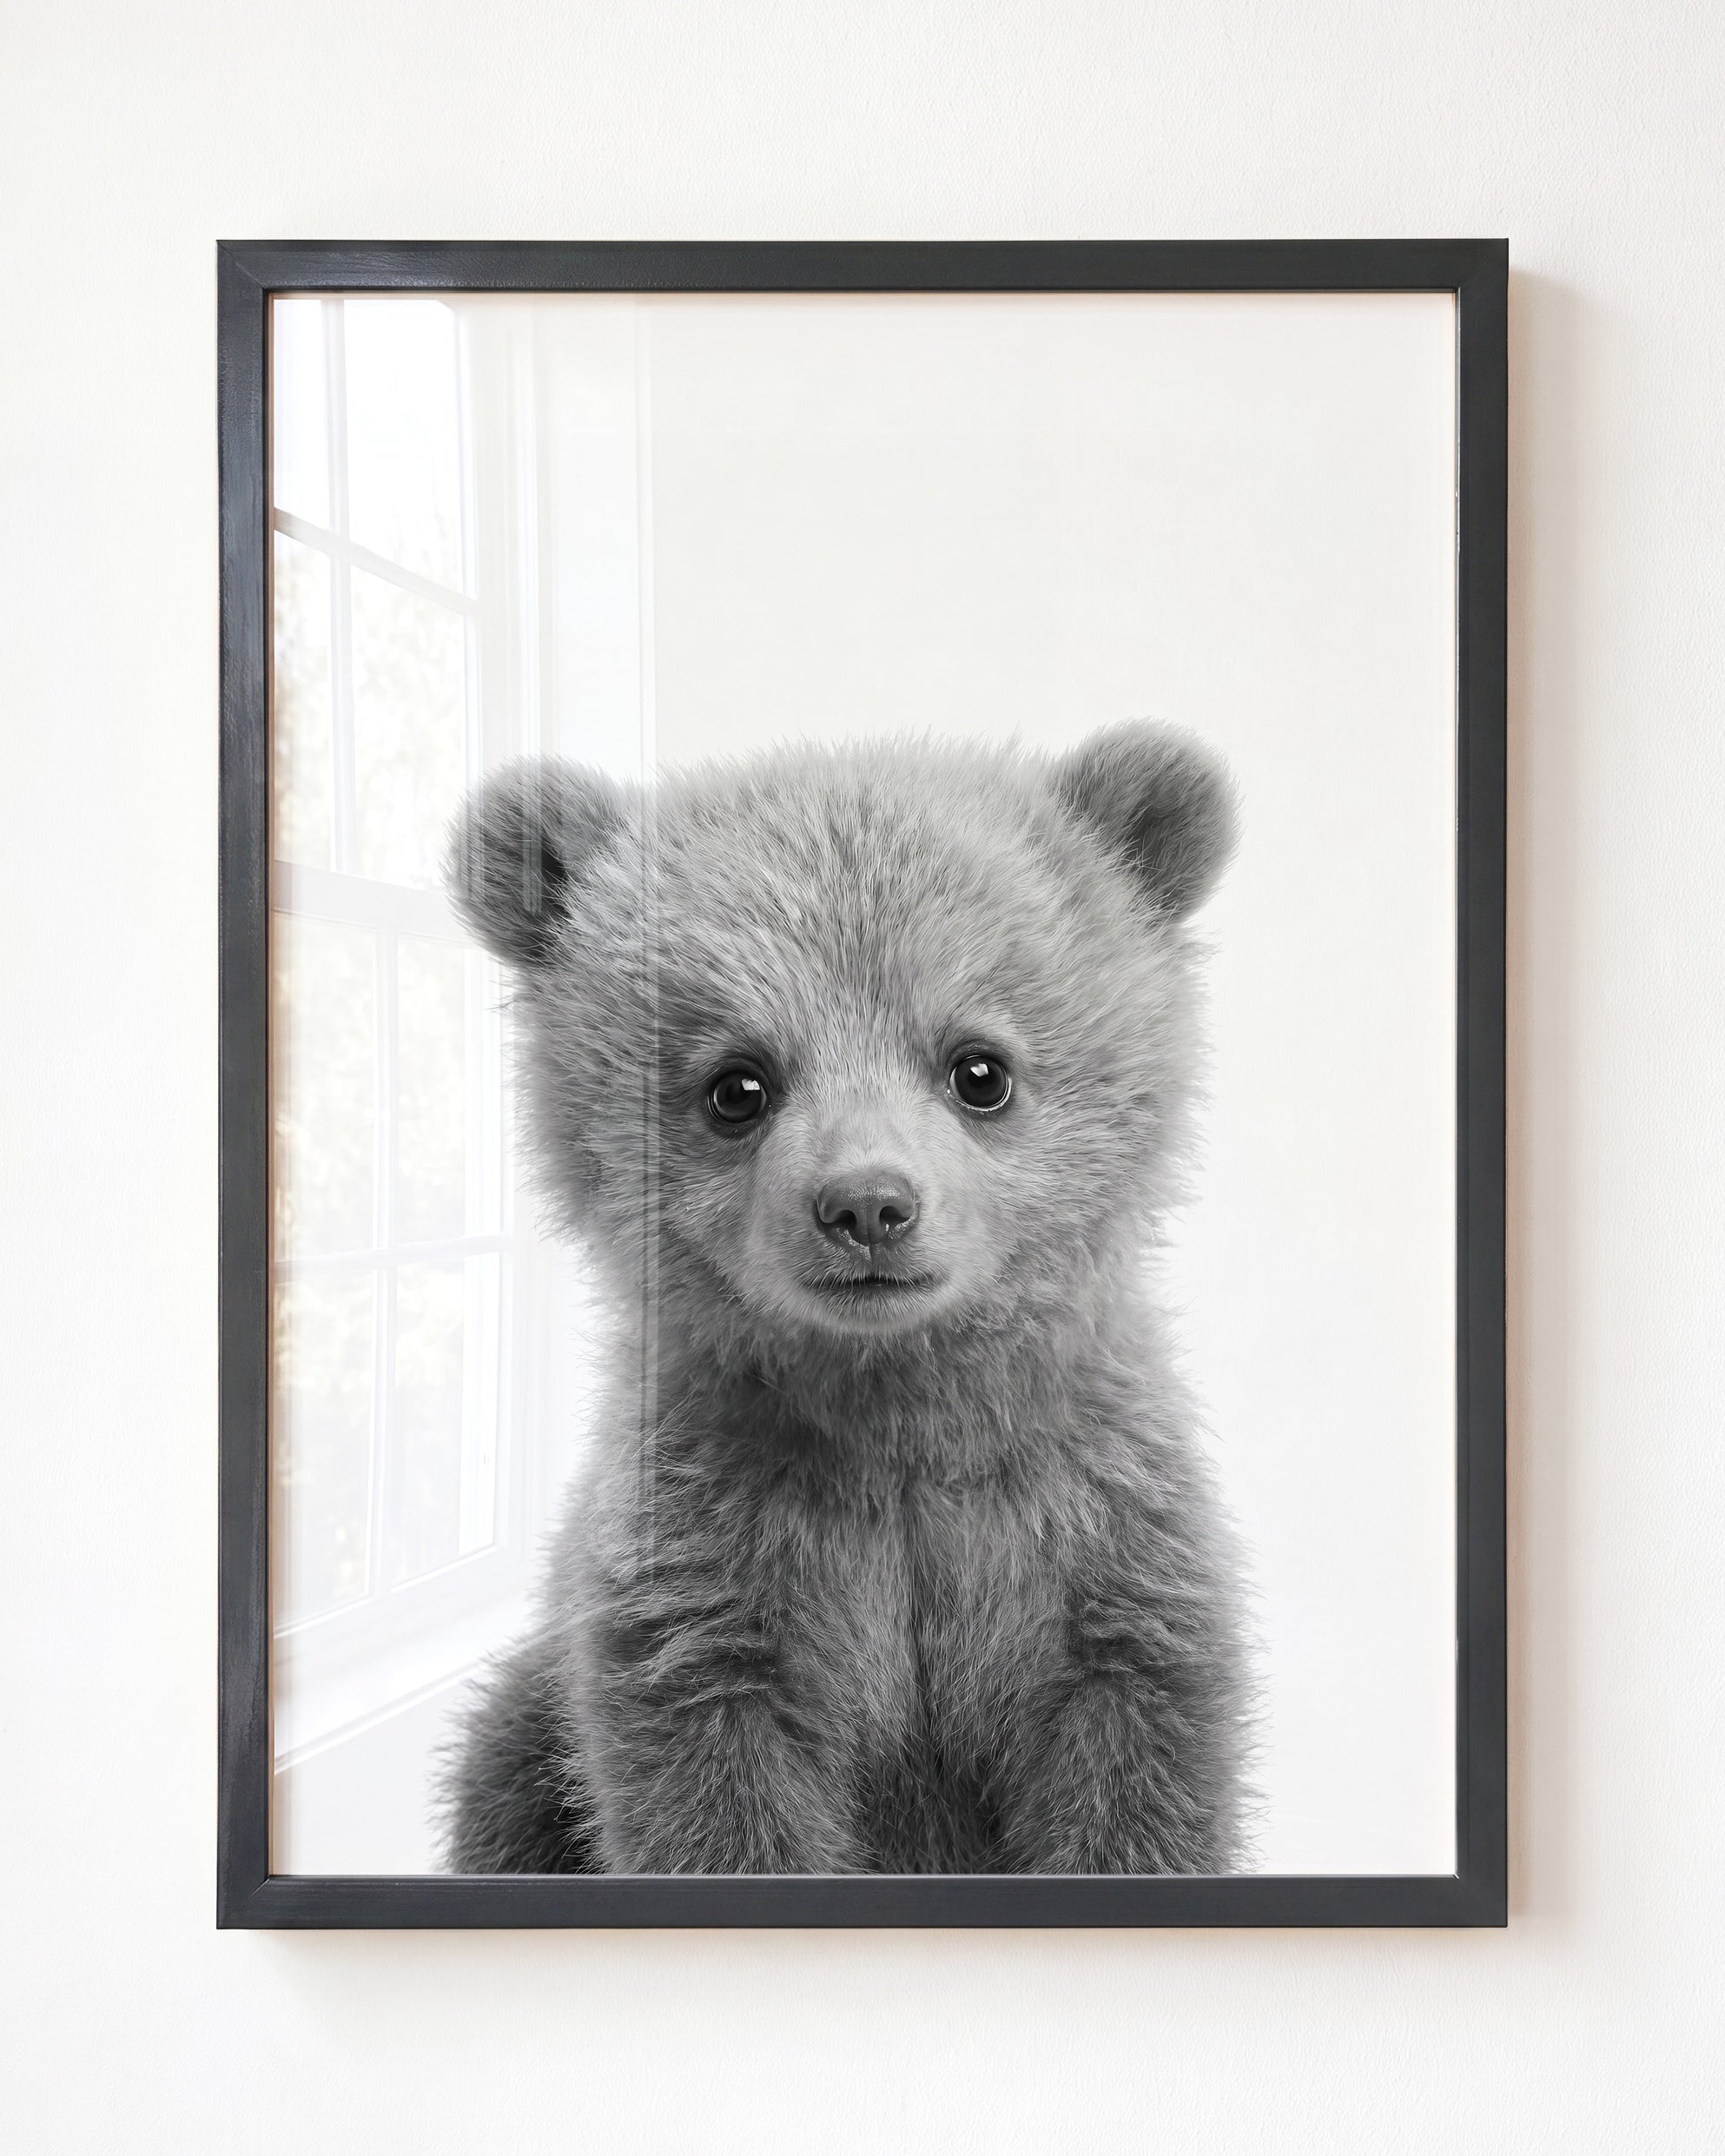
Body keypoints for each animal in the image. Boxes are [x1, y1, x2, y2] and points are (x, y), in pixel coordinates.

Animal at [438, 722, 1254, 1876]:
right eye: (737, 1084)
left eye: (980, 1068)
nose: (868, 1205)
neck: (896, 1416)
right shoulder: (711, 1583)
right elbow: (717, 1804)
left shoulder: (1094, 1550)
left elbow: (1136, 1785)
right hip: (529, 1728)